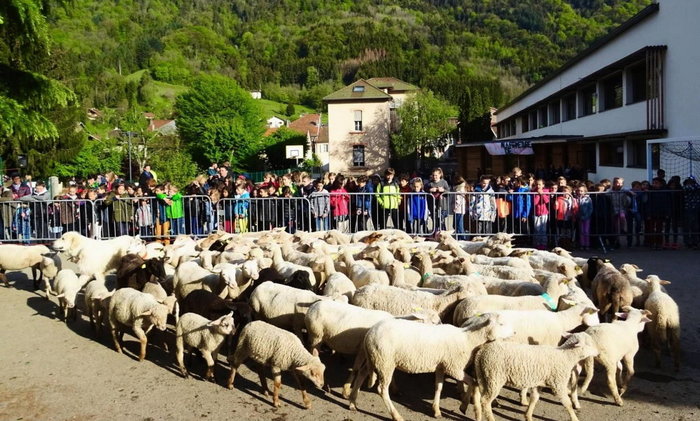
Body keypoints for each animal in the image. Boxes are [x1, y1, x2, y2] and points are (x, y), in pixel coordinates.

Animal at [348, 314, 516, 418]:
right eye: (501, 324)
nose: (514, 332)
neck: (469, 339)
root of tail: (370, 332)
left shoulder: (442, 366)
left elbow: (438, 388)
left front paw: (436, 410)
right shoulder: (454, 367)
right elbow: (474, 383)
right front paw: (466, 407)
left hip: (374, 358)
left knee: (362, 373)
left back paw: (352, 402)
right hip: (385, 361)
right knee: (382, 389)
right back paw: (396, 415)